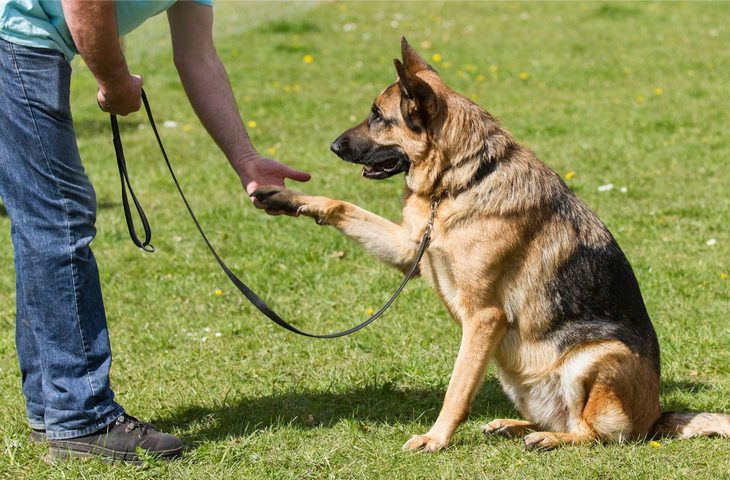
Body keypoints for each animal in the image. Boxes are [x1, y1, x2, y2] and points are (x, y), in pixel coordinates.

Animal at [252, 39, 728, 452]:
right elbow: (341, 205)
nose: (332, 146)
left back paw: (550, 439)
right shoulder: (411, 249)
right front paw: (287, 198)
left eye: (377, 116)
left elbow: (457, 388)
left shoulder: (484, 318)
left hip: (595, 358)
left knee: (594, 433)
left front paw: (435, 439)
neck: (462, 180)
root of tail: (657, 415)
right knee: (557, 417)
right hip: (515, 373)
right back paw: (513, 426)